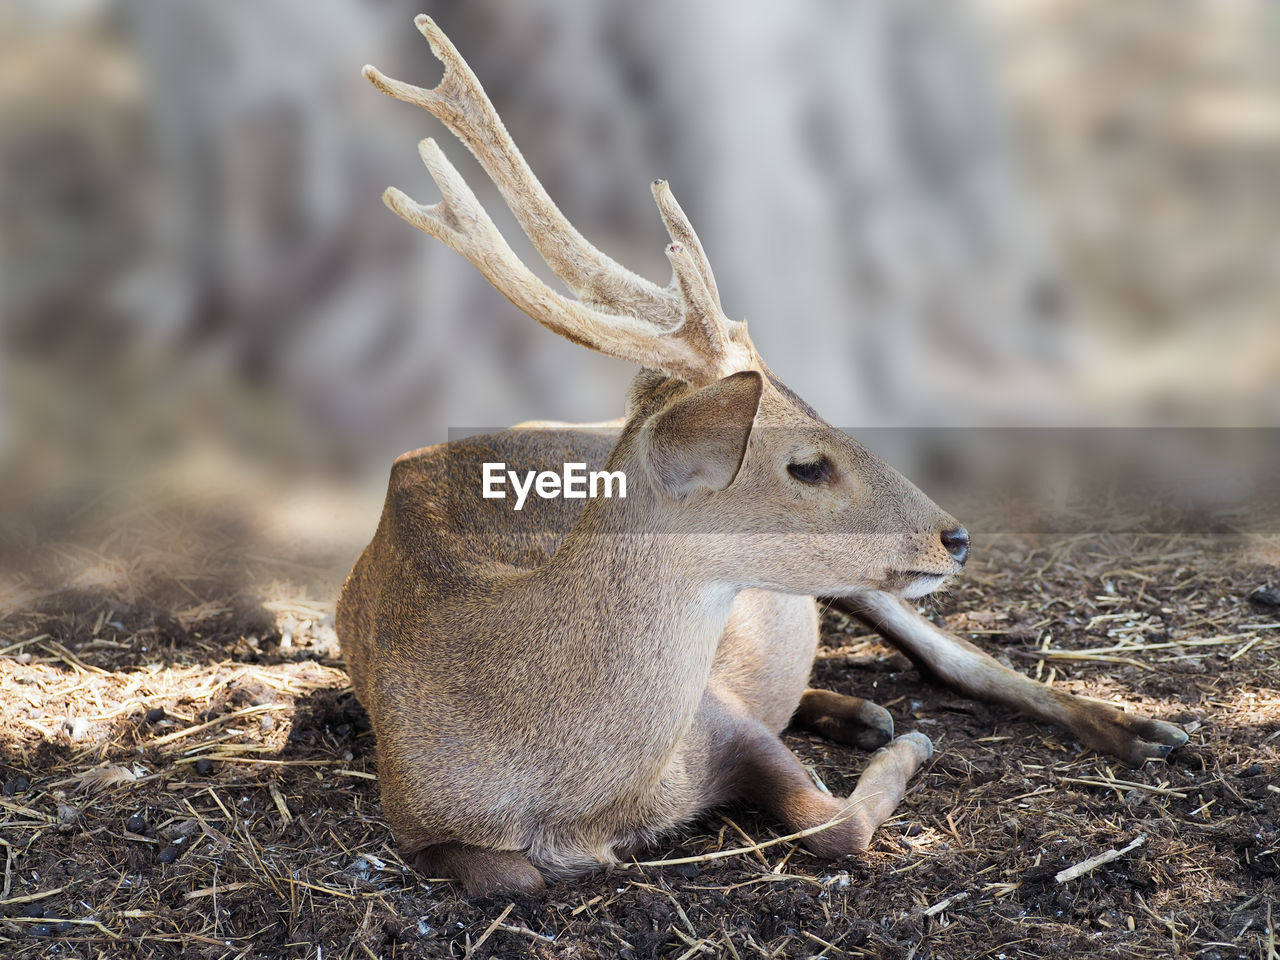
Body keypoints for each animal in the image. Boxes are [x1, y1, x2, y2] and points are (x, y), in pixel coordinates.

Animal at [340, 16, 1187, 901]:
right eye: (806, 465)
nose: (954, 536)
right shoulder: (414, 816)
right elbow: (515, 878)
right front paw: (894, 738)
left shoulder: (722, 717)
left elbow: (830, 820)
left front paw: (912, 747)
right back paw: (862, 713)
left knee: (959, 659)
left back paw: (1146, 732)